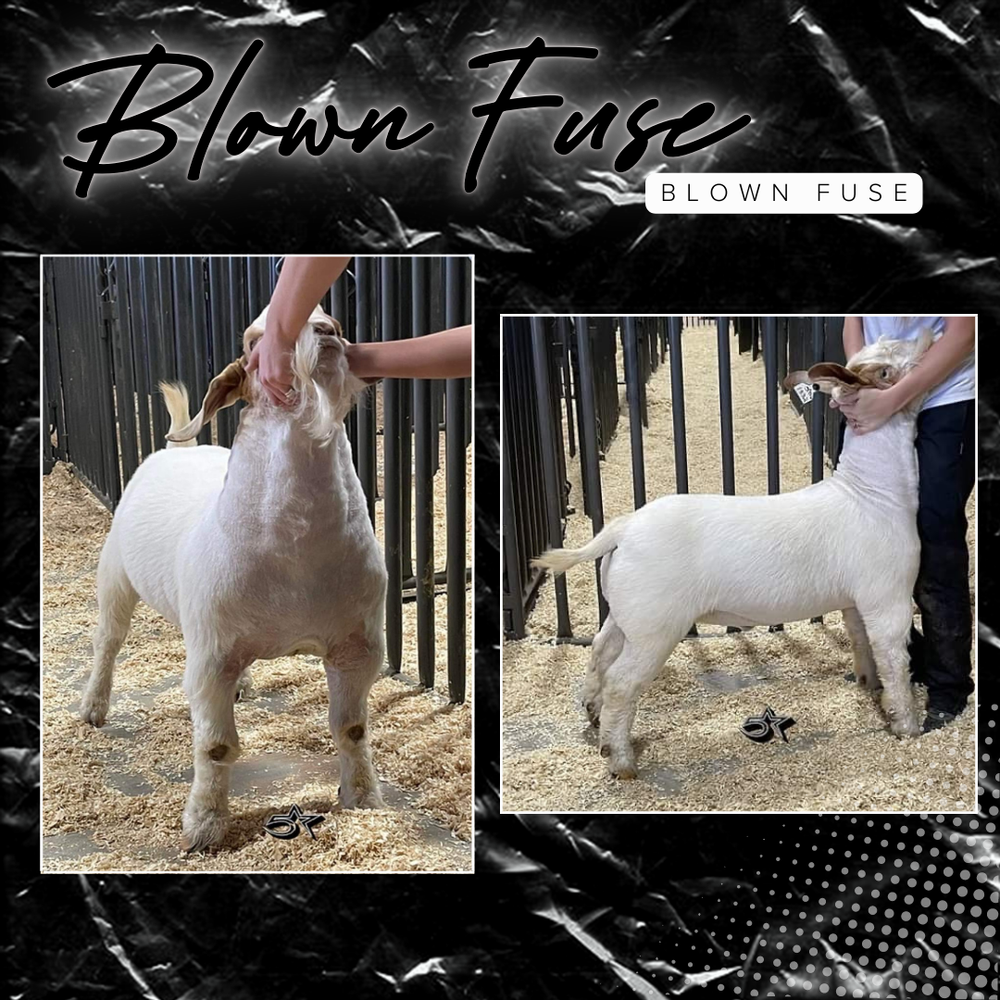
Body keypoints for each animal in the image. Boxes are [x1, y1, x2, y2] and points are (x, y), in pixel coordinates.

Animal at [79, 306, 387, 851]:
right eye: (252, 340)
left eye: (334, 321)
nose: (325, 333)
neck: (296, 562)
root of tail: (181, 449)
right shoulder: (209, 657)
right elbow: (218, 747)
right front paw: (204, 827)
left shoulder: (358, 645)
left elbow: (352, 730)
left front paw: (363, 799)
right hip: (115, 573)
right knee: (108, 640)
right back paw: (94, 707)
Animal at [533, 332, 933, 780]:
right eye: (884, 371)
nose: (927, 337)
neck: (872, 492)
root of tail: (623, 528)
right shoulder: (890, 595)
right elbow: (895, 657)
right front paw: (908, 725)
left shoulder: (855, 599)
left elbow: (863, 643)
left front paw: (871, 688)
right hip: (657, 625)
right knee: (621, 682)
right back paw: (620, 760)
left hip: (628, 613)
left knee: (600, 652)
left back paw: (591, 711)